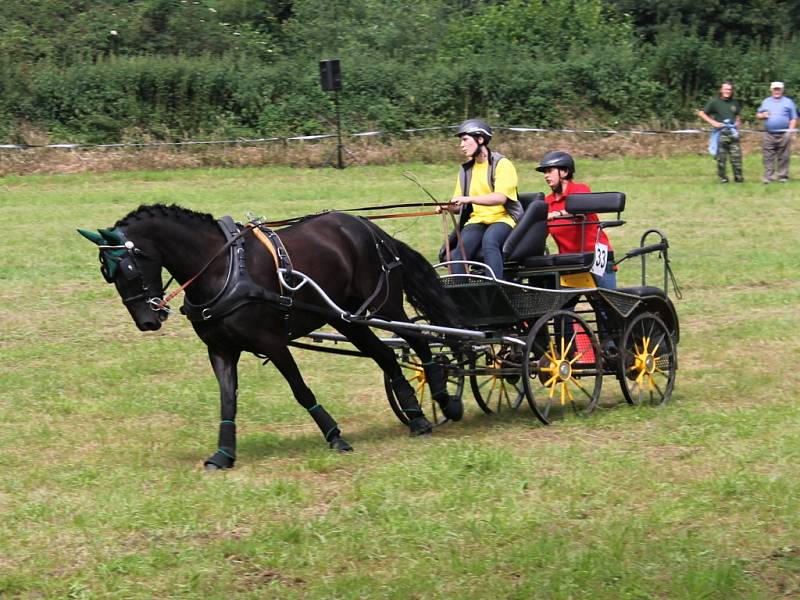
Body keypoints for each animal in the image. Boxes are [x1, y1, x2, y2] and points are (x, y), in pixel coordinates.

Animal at [79, 204, 466, 472]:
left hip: (384, 305)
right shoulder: (220, 350)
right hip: (347, 318)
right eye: (108, 274)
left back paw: (444, 401)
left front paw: (335, 436)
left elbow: (300, 390)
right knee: (385, 357)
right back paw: (416, 416)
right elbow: (227, 401)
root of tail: (367, 226)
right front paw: (223, 453)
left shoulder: (272, 342)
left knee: (419, 341)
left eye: (129, 267)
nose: (147, 321)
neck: (223, 268)